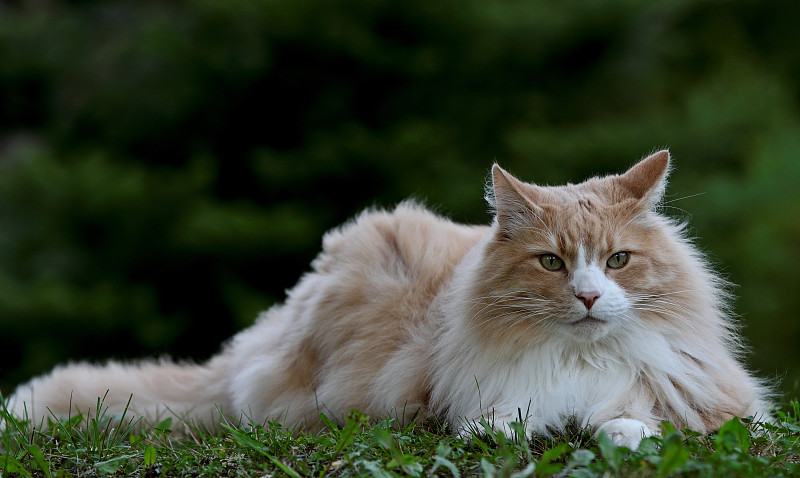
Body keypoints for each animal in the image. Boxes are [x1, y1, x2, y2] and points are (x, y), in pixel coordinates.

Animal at [6, 151, 768, 450]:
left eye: (617, 261)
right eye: (551, 262)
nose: (586, 296)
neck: (577, 363)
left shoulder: (707, 401)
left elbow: (629, 422)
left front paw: (618, 431)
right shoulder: (464, 393)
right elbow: (499, 421)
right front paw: (510, 431)